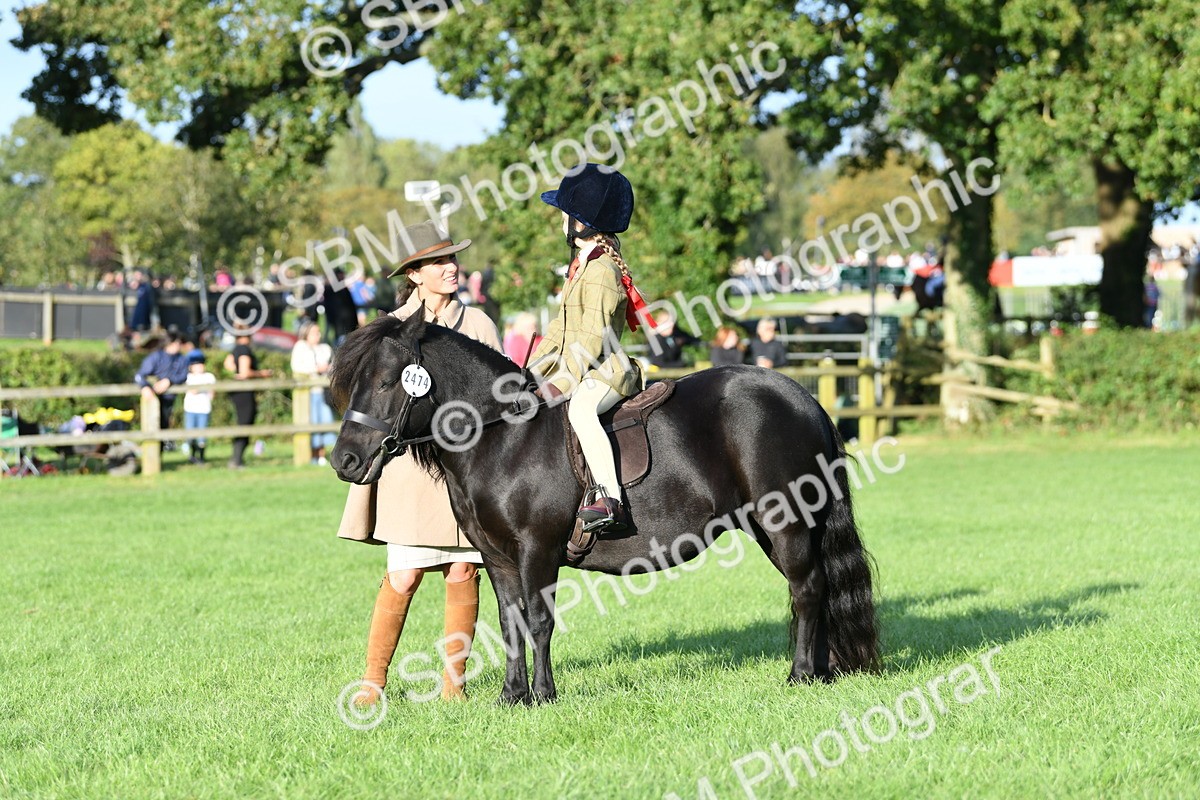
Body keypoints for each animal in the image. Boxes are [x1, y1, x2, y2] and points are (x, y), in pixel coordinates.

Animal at [328, 312, 879, 704]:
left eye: (386, 381)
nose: (343, 460)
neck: (504, 435)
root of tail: (802, 397)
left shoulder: (537, 551)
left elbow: (539, 620)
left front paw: (542, 695)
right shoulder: (497, 557)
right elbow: (509, 624)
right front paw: (510, 696)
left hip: (784, 521)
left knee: (807, 588)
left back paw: (802, 675)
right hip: (774, 526)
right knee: (814, 588)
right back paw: (823, 672)